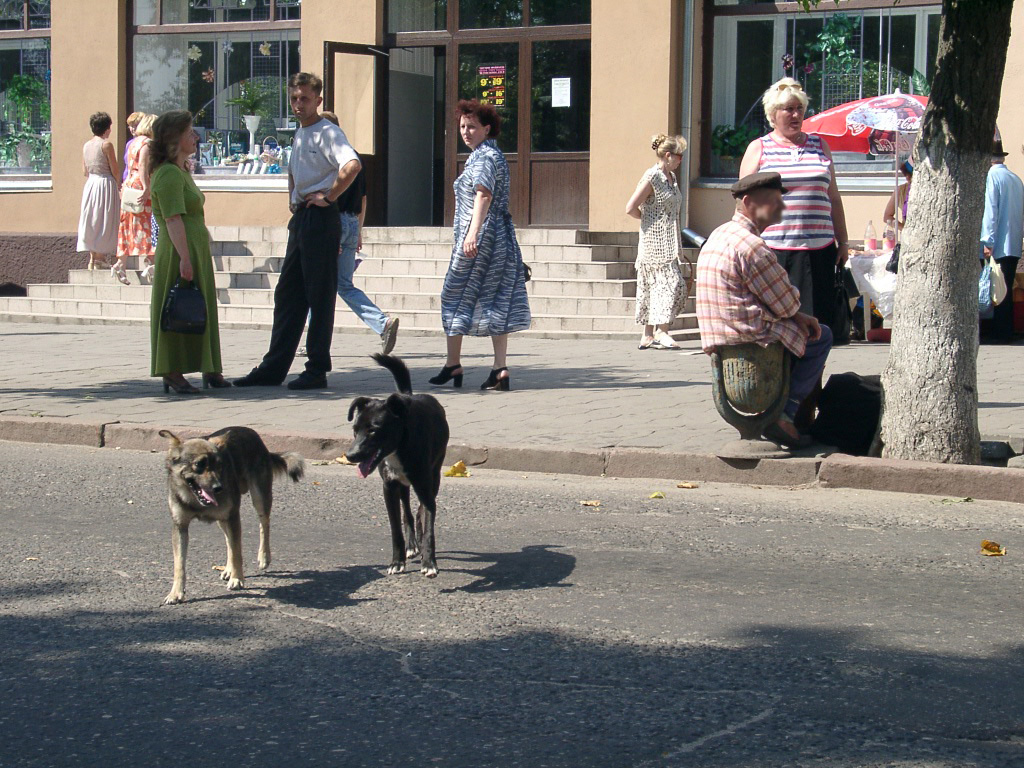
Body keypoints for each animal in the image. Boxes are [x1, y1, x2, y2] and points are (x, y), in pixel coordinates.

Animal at [157, 430, 303, 606]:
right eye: (199, 464)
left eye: (219, 465)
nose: (218, 488)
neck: (196, 501)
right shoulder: (180, 527)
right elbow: (179, 564)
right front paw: (176, 593)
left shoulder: (233, 517)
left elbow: (237, 552)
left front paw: (237, 579)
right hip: (222, 519)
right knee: (228, 540)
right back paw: (228, 569)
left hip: (259, 498)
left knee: (264, 525)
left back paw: (263, 557)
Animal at [346, 354, 450, 577]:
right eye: (355, 429)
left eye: (373, 430)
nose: (351, 455)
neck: (399, 447)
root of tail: (406, 396)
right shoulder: (389, 487)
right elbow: (396, 527)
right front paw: (397, 561)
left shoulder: (425, 486)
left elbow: (429, 525)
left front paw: (429, 562)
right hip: (402, 486)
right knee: (407, 513)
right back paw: (411, 545)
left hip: (433, 477)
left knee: (419, 512)